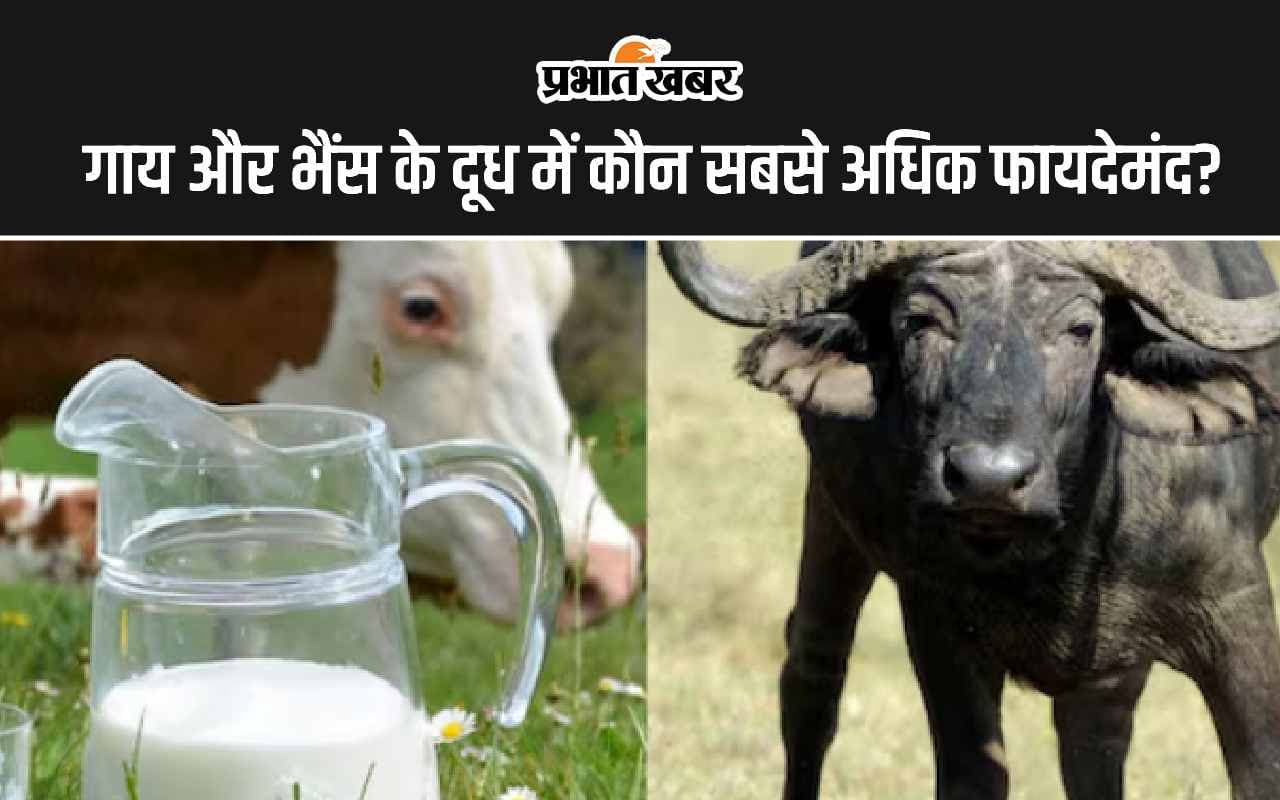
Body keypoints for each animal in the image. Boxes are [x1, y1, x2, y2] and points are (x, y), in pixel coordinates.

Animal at [661, 240, 1280, 800]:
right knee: (813, 675)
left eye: (1081, 329)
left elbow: (1258, 771)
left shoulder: (1234, 609)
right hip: (828, 520)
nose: (989, 479)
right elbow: (974, 774)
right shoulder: (939, 626)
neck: (1055, 551)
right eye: (920, 321)